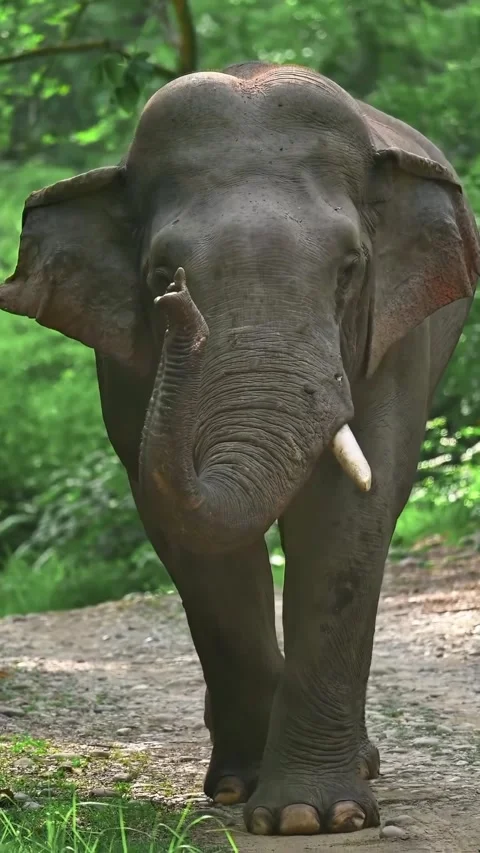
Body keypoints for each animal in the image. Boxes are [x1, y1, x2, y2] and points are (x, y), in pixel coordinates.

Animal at [1, 61, 479, 836]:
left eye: (351, 267)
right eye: (160, 274)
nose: (177, 306)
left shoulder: (396, 337)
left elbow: (351, 512)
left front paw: (316, 815)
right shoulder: (123, 363)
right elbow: (185, 529)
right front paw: (247, 792)